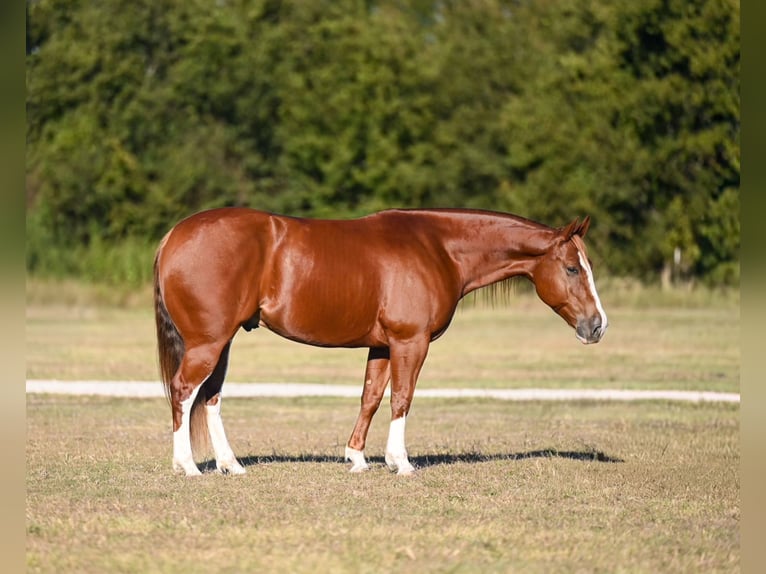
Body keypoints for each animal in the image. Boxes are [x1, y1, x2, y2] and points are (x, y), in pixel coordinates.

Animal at [154, 207, 608, 476]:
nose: (597, 326)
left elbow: (370, 397)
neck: (438, 248)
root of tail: (174, 234)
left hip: (222, 343)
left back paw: (230, 464)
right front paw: (400, 461)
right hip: (208, 343)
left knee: (210, 396)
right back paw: (187, 466)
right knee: (184, 390)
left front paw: (356, 458)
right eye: (572, 268)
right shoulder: (411, 342)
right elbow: (401, 398)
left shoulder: (383, 346)